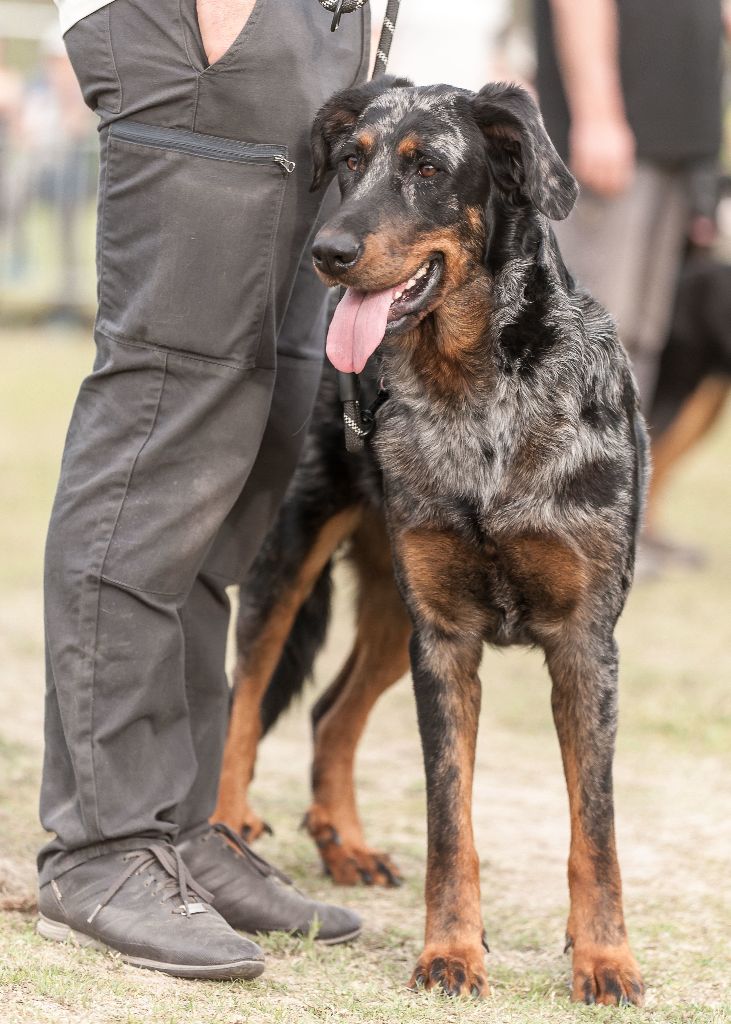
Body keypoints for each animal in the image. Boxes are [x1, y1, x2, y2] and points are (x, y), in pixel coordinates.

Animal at [208, 75, 642, 1003]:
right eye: (349, 160)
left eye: (429, 168)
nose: (328, 252)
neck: (475, 392)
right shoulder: (443, 639)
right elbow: (452, 821)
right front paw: (450, 950)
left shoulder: (582, 642)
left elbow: (594, 828)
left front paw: (604, 959)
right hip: (295, 559)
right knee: (244, 698)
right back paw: (227, 834)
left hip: (389, 612)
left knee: (331, 713)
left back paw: (345, 845)